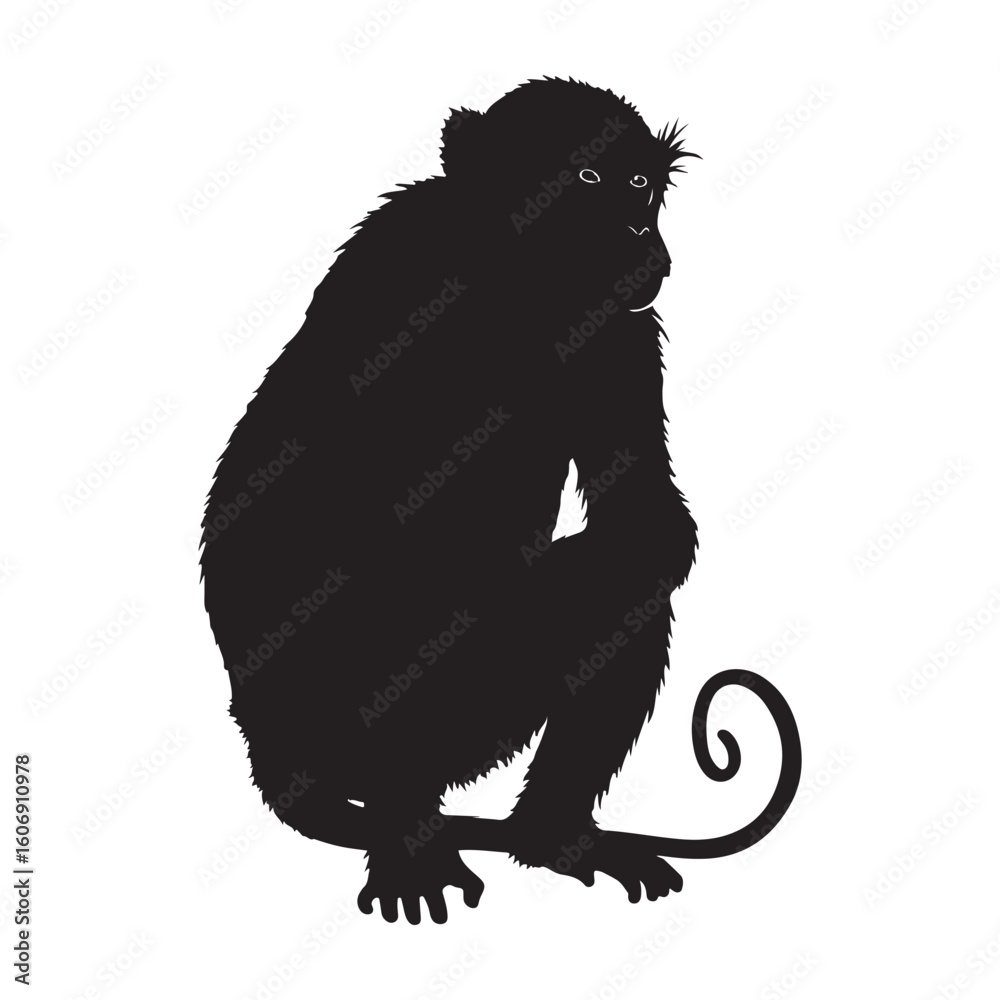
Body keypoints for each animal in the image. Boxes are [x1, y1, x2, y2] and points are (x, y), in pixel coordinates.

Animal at [200, 77, 801, 925]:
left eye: (640, 183)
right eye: (587, 177)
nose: (637, 230)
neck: (521, 282)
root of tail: (271, 752)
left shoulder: (621, 333)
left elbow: (643, 519)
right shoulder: (399, 261)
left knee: (615, 588)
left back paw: (553, 838)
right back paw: (410, 837)